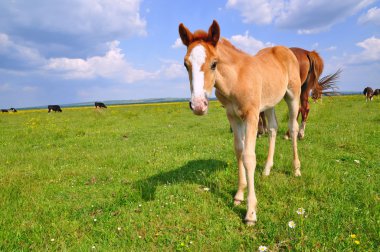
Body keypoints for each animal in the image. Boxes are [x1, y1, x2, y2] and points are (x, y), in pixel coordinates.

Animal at [179, 20, 302, 224]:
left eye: (214, 63)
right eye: (185, 64)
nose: (198, 105)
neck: (235, 79)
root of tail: (285, 49)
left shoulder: (251, 115)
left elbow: (248, 156)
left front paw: (251, 212)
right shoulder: (232, 115)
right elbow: (238, 150)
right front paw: (238, 195)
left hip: (293, 95)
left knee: (293, 128)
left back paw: (296, 169)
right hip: (268, 103)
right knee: (273, 128)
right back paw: (267, 169)